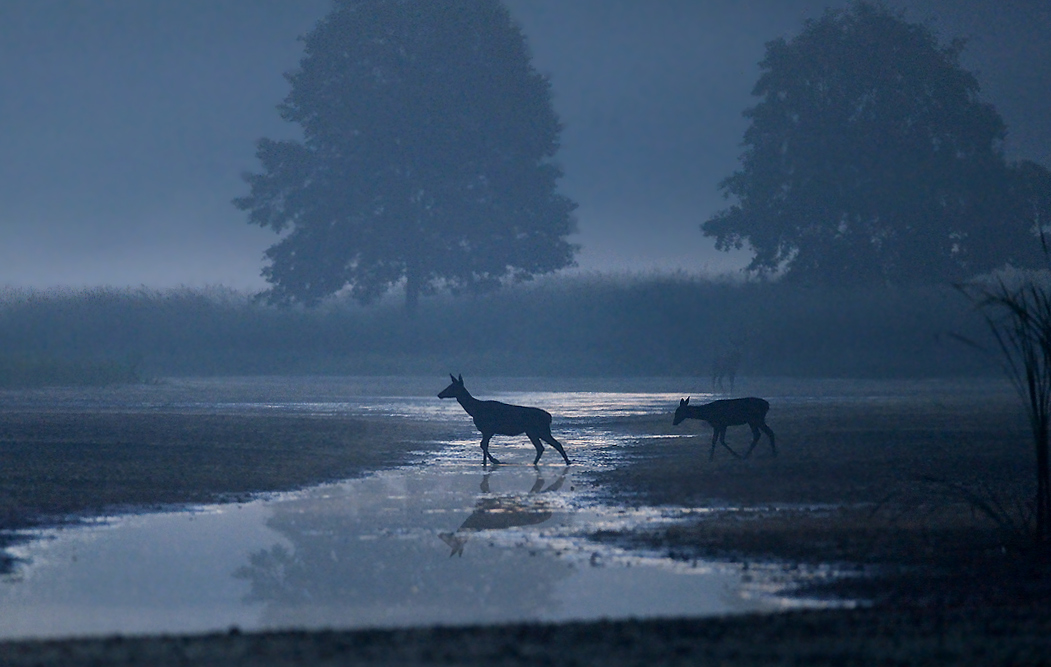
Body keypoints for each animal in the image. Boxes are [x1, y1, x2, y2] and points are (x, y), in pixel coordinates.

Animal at [435, 373, 571, 466]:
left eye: (452, 387)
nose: (439, 394)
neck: (474, 410)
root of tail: (549, 417)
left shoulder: (489, 429)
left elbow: (483, 444)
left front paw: (494, 460)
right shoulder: (486, 431)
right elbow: (483, 445)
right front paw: (486, 462)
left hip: (541, 430)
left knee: (555, 444)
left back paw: (567, 462)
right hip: (532, 431)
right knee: (541, 447)